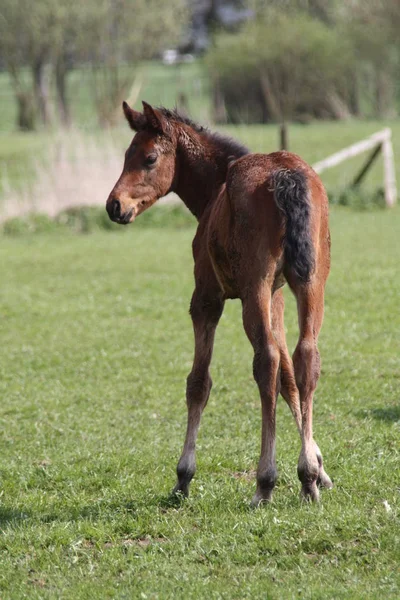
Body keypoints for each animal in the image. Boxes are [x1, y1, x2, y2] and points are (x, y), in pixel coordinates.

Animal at [105, 101, 332, 504]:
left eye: (149, 158)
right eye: (126, 156)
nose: (114, 206)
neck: (216, 188)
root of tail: (286, 176)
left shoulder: (207, 298)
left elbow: (198, 382)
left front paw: (183, 475)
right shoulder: (276, 297)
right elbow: (290, 380)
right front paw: (318, 469)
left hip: (253, 289)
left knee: (265, 362)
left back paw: (265, 482)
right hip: (310, 283)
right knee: (306, 356)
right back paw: (305, 479)